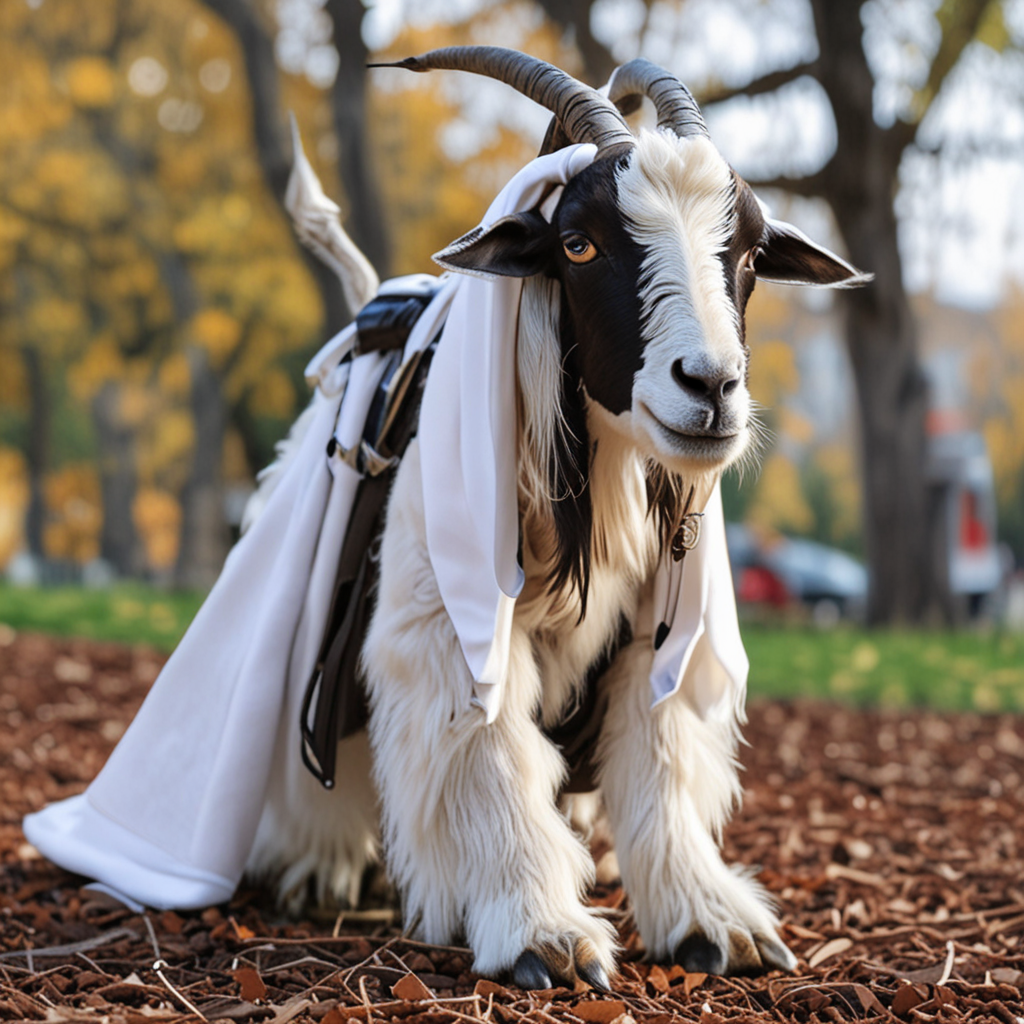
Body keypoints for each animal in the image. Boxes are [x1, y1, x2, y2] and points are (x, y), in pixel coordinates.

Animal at [244, 48, 869, 988]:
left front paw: (710, 921)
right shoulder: (450, 619)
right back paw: (318, 867)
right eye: (579, 244)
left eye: (753, 250)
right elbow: (488, 754)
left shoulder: (658, 635)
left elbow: (660, 760)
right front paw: (542, 934)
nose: (711, 386)